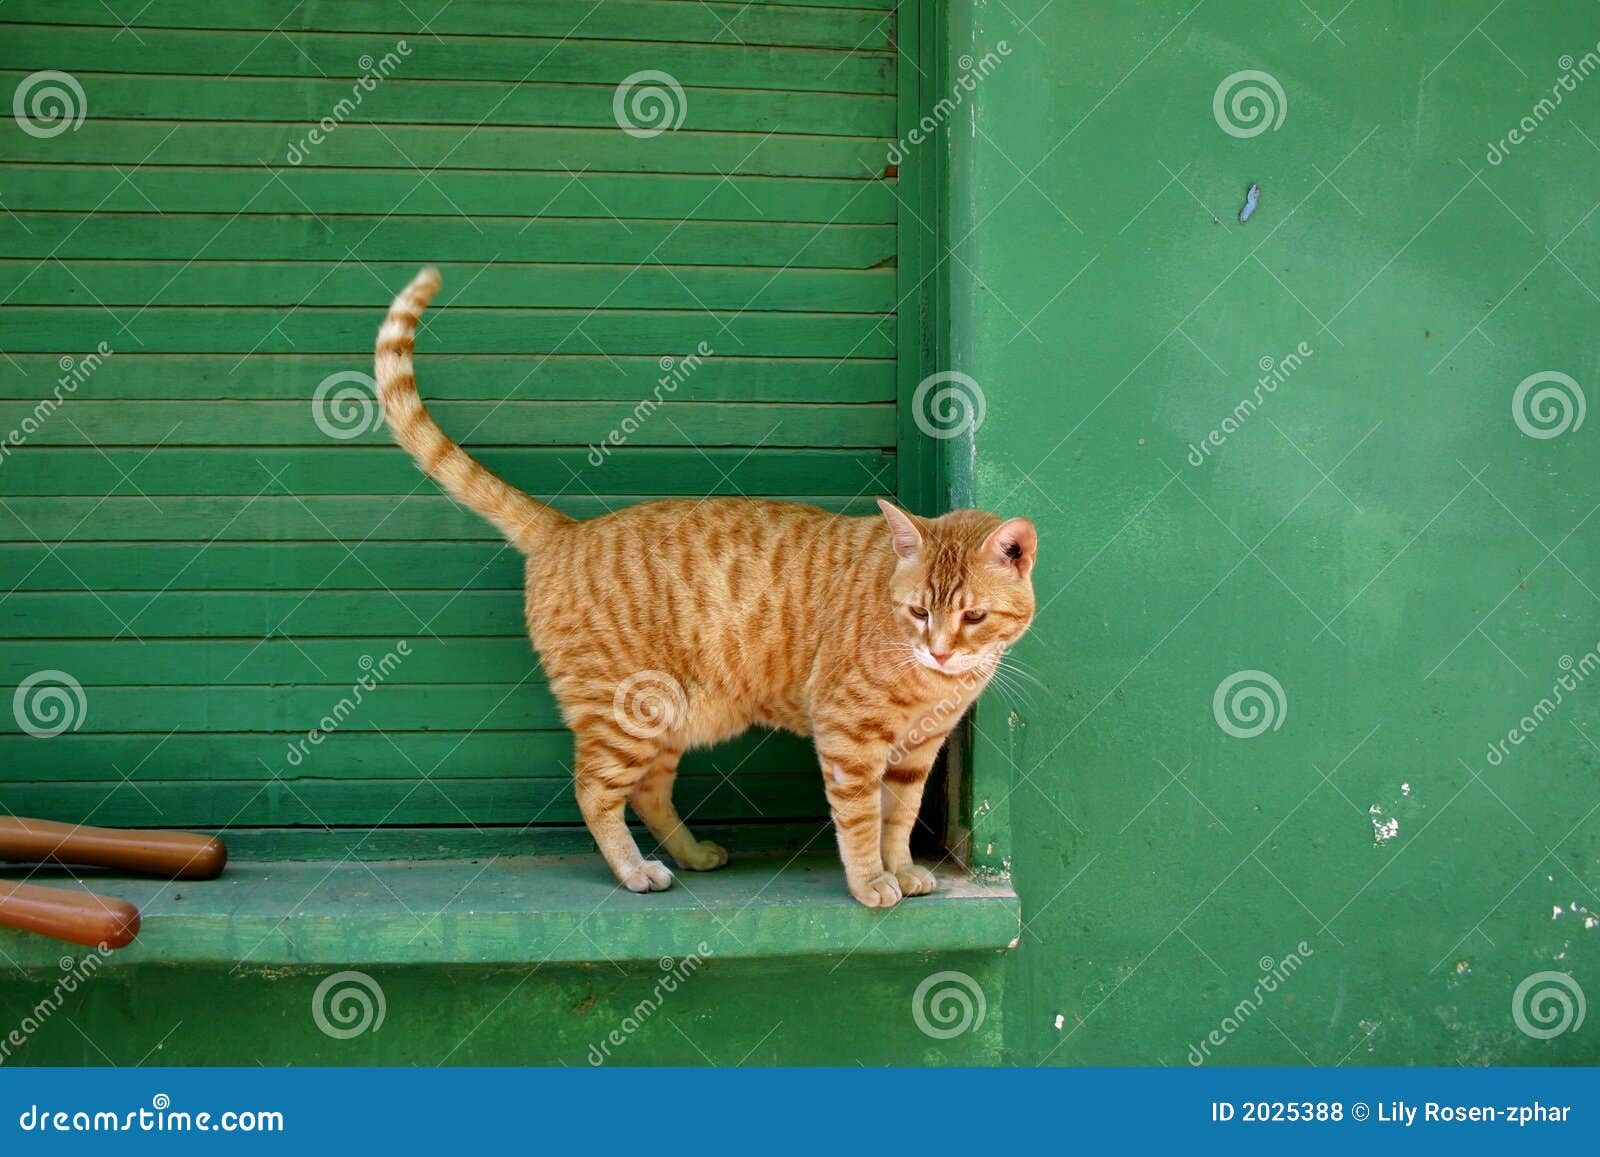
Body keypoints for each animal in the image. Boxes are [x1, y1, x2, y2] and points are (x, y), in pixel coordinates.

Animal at [372, 268, 1036, 902]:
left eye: (973, 617)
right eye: (919, 612)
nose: (940, 651)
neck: (933, 684)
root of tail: (566, 529)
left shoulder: (916, 754)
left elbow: (898, 821)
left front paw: (902, 870)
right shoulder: (850, 738)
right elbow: (860, 822)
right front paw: (872, 882)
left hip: (665, 716)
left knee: (647, 792)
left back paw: (689, 855)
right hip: (626, 713)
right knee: (594, 790)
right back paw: (635, 870)